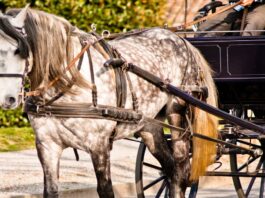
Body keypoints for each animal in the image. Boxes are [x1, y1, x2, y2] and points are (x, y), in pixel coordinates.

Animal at [0, 5, 217, 197]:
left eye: (18, 50)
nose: (7, 98)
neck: (69, 84)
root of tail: (180, 39)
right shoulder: (47, 146)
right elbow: (51, 191)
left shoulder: (99, 145)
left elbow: (105, 190)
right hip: (148, 125)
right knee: (170, 169)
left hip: (178, 116)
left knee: (181, 171)